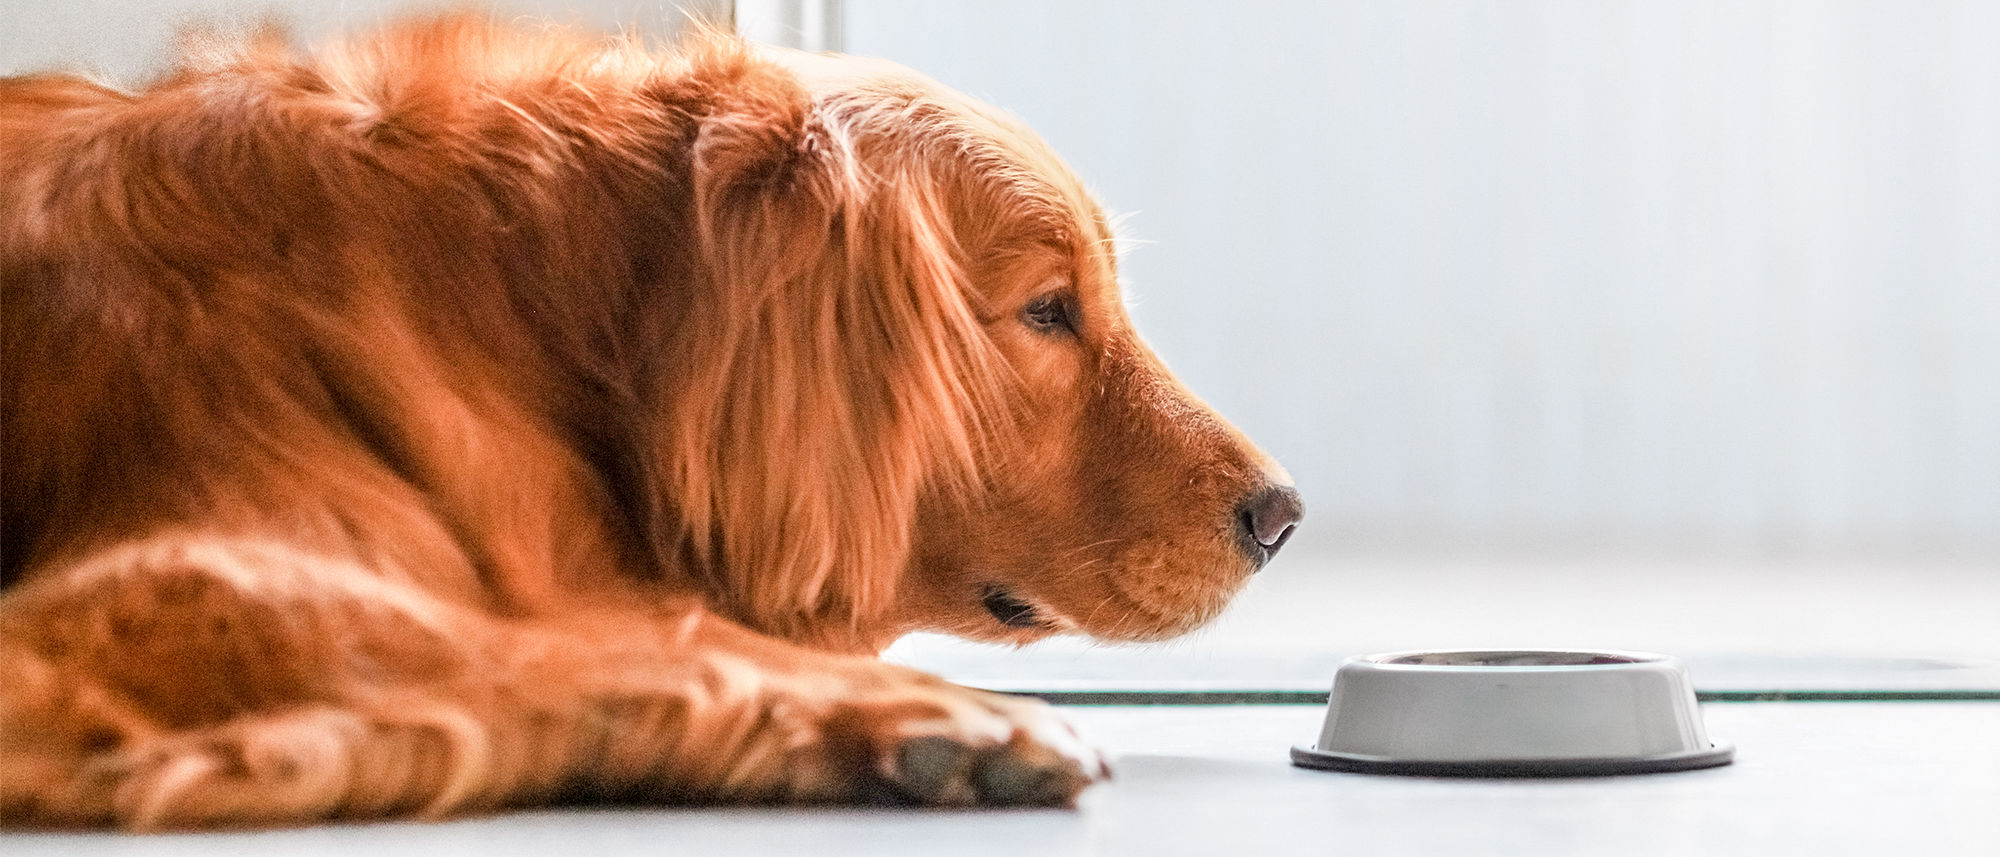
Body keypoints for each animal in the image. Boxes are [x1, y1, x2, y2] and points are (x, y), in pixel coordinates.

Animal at [0, 15, 1304, 828]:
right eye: (1045, 309)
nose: (1282, 515)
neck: (513, 313)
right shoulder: (163, 580)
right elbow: (582, 638)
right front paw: (942, 719)